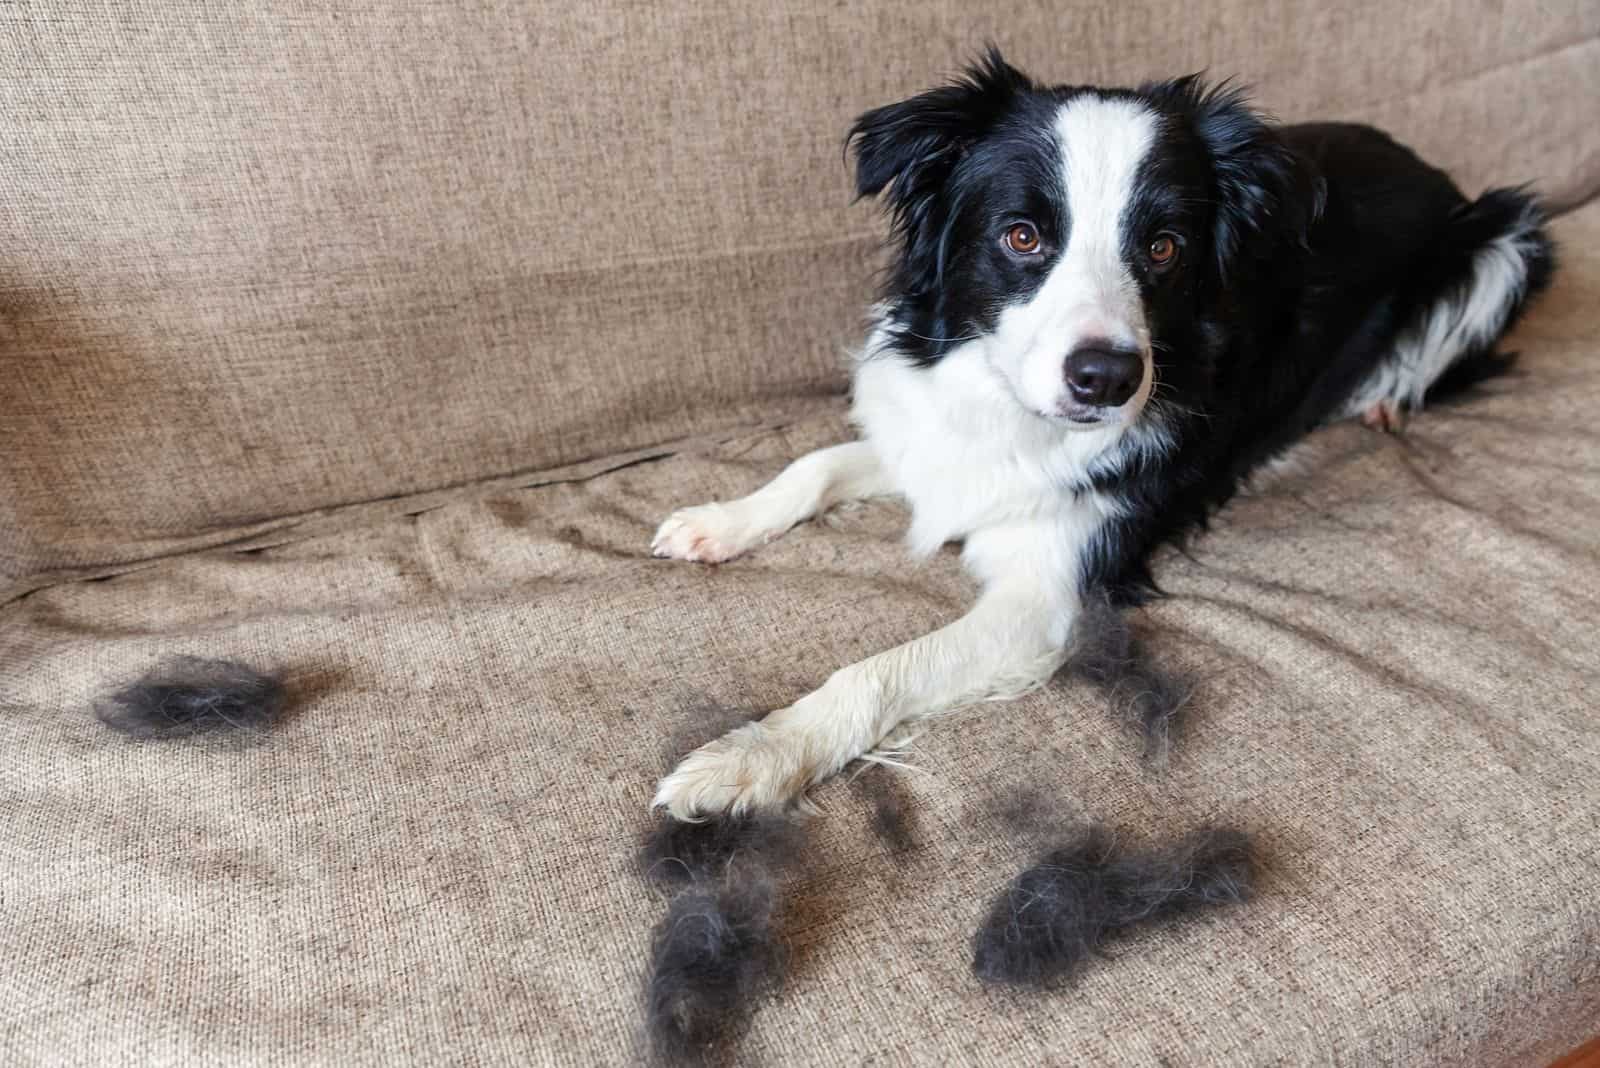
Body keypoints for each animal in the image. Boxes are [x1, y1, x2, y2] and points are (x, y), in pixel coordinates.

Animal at [646, 51, 1548, 818]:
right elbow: (815, 465)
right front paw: (717, 522)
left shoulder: (1045, 597)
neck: (1015, 414)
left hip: (1510, 237)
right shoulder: (931, 440)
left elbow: (878, 669)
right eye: (1022, 235)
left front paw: (753, 756)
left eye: (1165, 246)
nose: (1107, 379)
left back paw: (1388, 398)